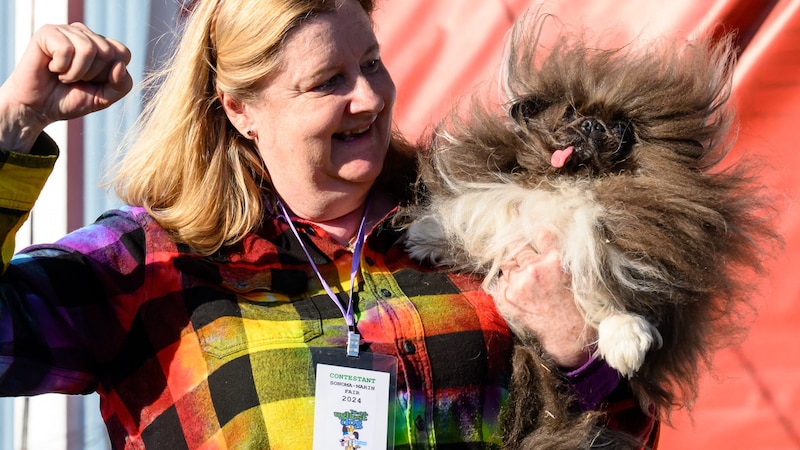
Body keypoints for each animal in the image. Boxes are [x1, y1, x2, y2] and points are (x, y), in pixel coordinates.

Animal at [404, 14, 780, 450]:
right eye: (568, 113)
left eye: (621, 126)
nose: (592, 125)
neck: (572, 179)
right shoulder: (502, 204)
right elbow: (471, 215)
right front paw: (425, 236)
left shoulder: (624, 245)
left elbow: (608, 291)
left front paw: (626, 341)